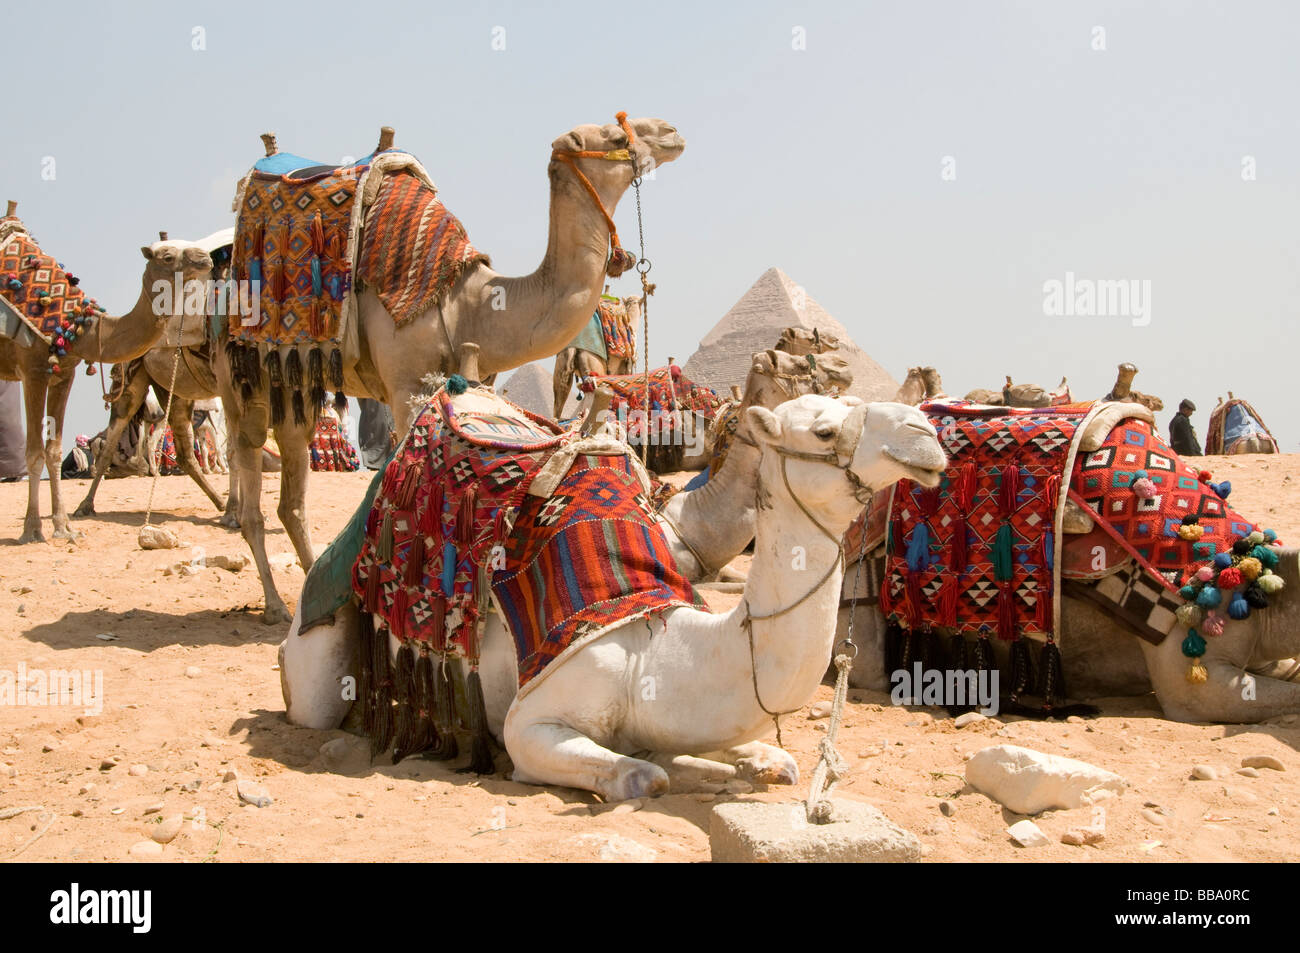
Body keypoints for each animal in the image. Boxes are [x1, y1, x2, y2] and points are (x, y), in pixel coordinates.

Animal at [279, 390, 946, 800]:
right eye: (824, 429)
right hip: (318, 657)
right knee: (315, 700)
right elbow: (645, 775)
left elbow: (774, 757)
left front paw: (745, 760)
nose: (925, 433)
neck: (656, 653)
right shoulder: (533, 719)